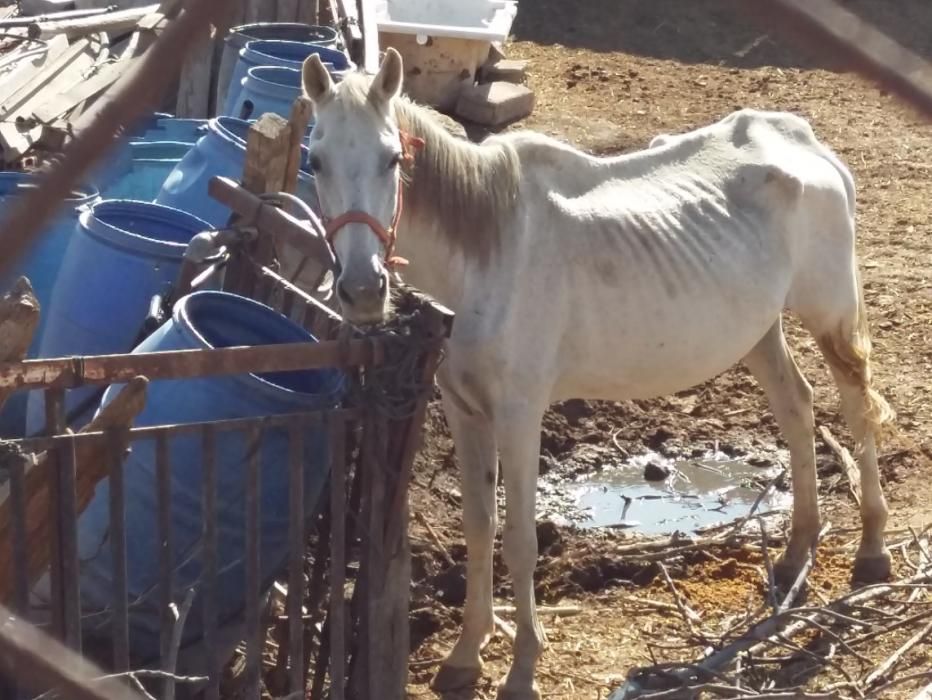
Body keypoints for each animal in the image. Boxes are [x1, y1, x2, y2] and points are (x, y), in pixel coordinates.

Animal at [298, 50, 896, 700]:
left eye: (392, 158)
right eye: (316, 160)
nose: (362, 291)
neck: (487, 253)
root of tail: (805, 142)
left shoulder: (519, 415)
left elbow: (520, 540)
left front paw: (522, 669)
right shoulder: (463, 408)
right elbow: (480, 526)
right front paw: (464, 656)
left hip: (830, 313)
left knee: (856, 408)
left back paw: (871, 551)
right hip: (758, 331)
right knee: (797, 407)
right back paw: (795, 552)